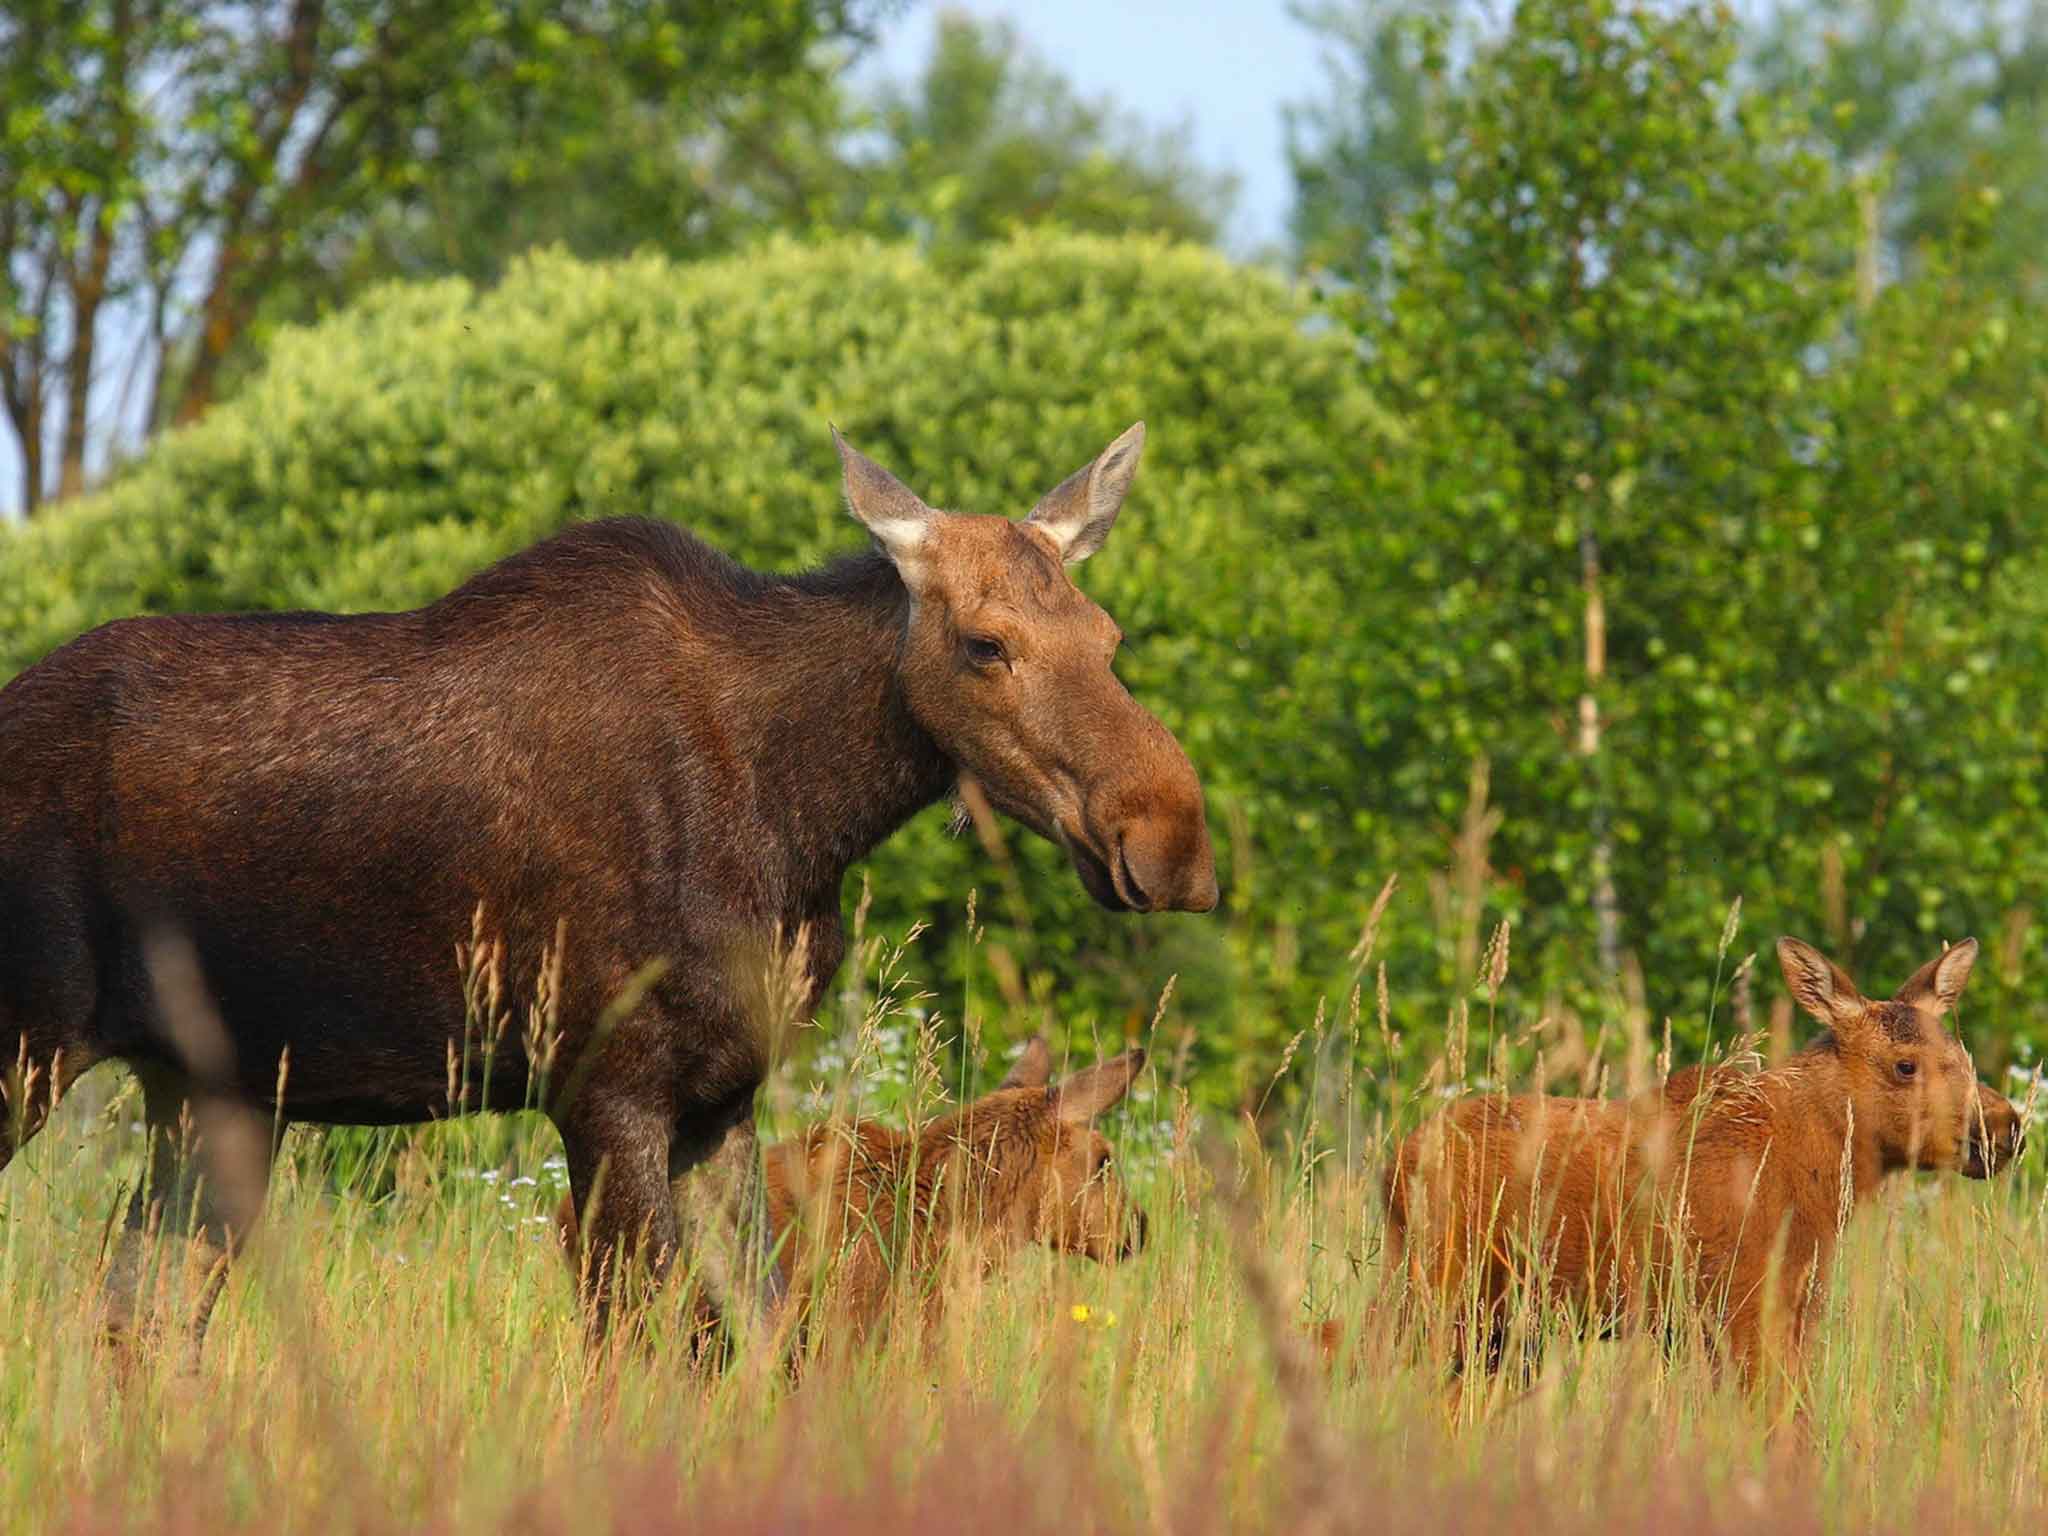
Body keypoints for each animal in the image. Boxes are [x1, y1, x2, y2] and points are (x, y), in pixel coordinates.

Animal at [1384, 937, 2023, 1392]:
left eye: (1961, 1052)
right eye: (1905, 1065)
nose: (2006, 1127)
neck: (1816, 1167)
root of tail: (1394, 1161)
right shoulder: (1741, 1305)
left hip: (1502, 1329)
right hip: (1442, 1290)